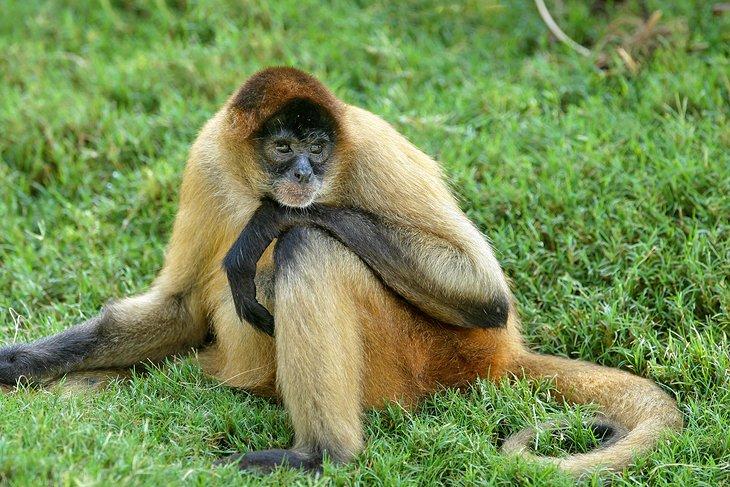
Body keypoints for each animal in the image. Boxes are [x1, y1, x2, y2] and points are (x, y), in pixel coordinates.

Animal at [0, 67, 682, 476]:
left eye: (318, 147)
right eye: (283, 147)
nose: (303, 173)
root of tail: (497, 353)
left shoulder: (368, 143)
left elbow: (485, 294)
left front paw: (266, 221)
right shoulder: (207, 156)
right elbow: (181, 308)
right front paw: (20, 363)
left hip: (420, 354)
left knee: (309, 244)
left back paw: (321, 455)